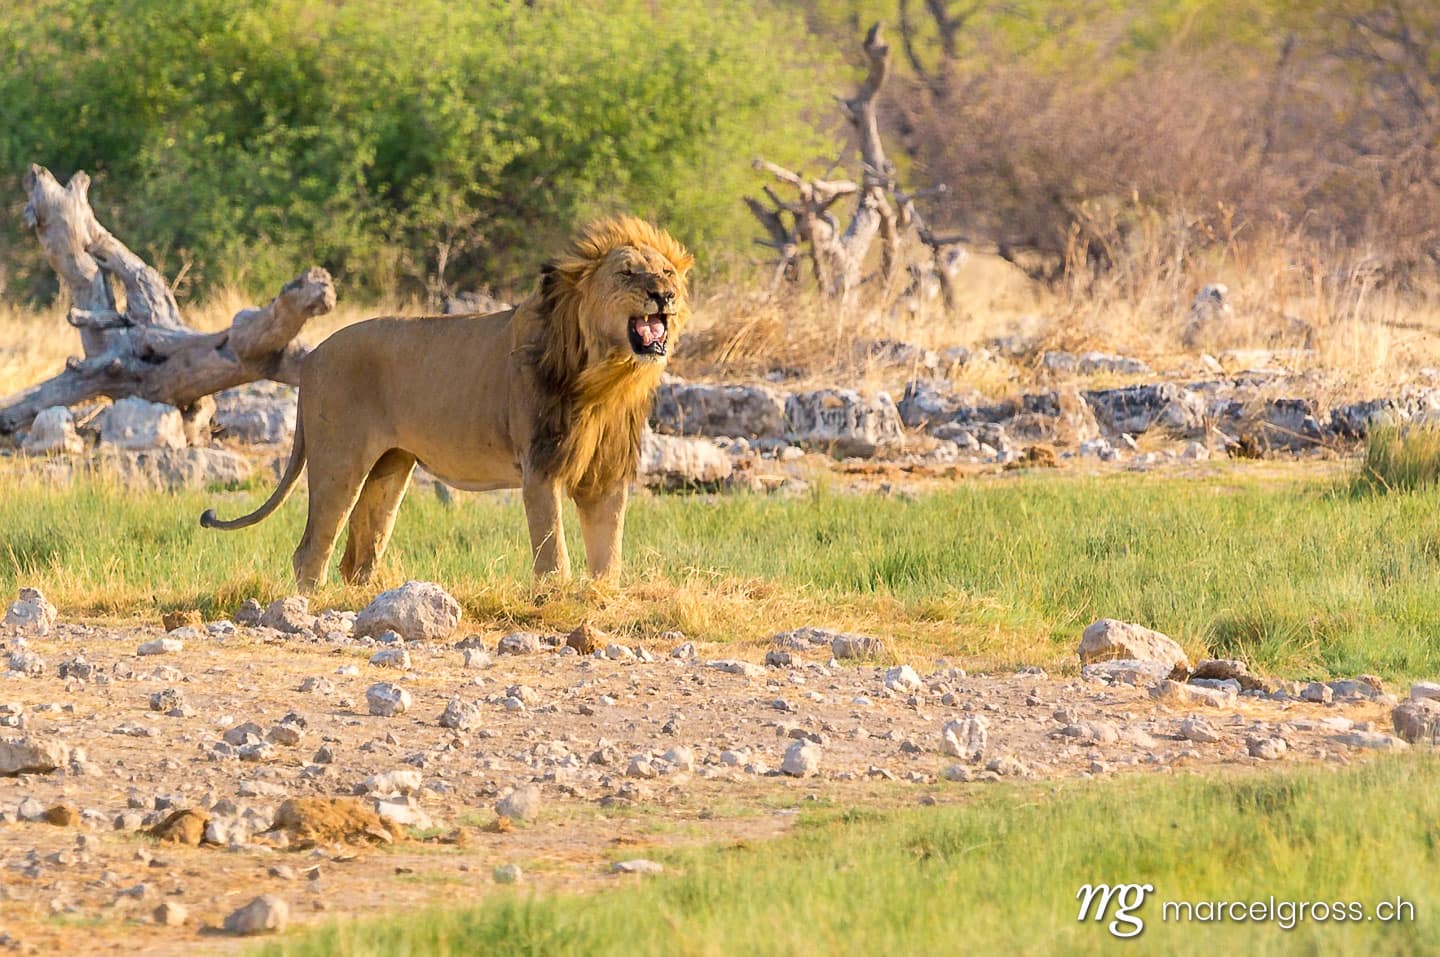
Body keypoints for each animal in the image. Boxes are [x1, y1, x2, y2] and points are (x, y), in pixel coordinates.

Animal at [200, 217, 693, 591]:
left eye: (667, 274)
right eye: (626, 274)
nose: (664, 296)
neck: (607, 378)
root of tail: (313, 356)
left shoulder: (606, 476)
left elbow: (608, 558)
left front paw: (602, 601)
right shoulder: (541, 467)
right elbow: (554, 554)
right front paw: (555, 601)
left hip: (391, 465)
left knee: (360, 550)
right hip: (339, 460)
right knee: (311, 550)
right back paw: (309, 610)